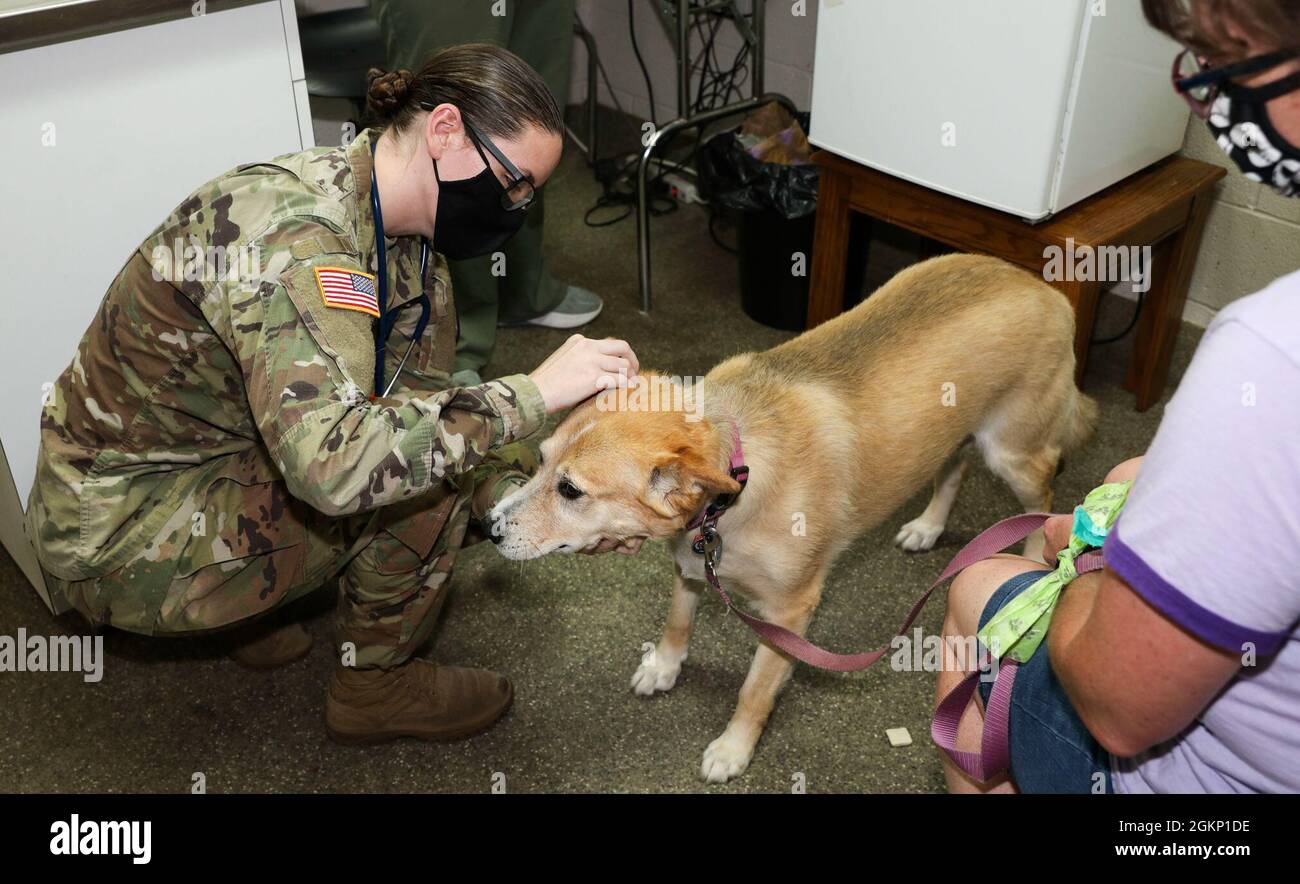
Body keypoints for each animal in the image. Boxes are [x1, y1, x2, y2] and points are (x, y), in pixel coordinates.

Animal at [491, 253, 1092, 780]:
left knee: (1044, 496)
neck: (734, 485)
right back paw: (929, 526)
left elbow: (754, 691)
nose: (491, 528)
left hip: (1013, 454)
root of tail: (1042, 287)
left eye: (570, 490)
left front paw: (733, 749)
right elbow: (677, 621)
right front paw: (664, 665)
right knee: (953, 470)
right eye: (540, 461)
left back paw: (1037, 563)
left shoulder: (790, 615)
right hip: (952, 435)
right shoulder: (692, 564)